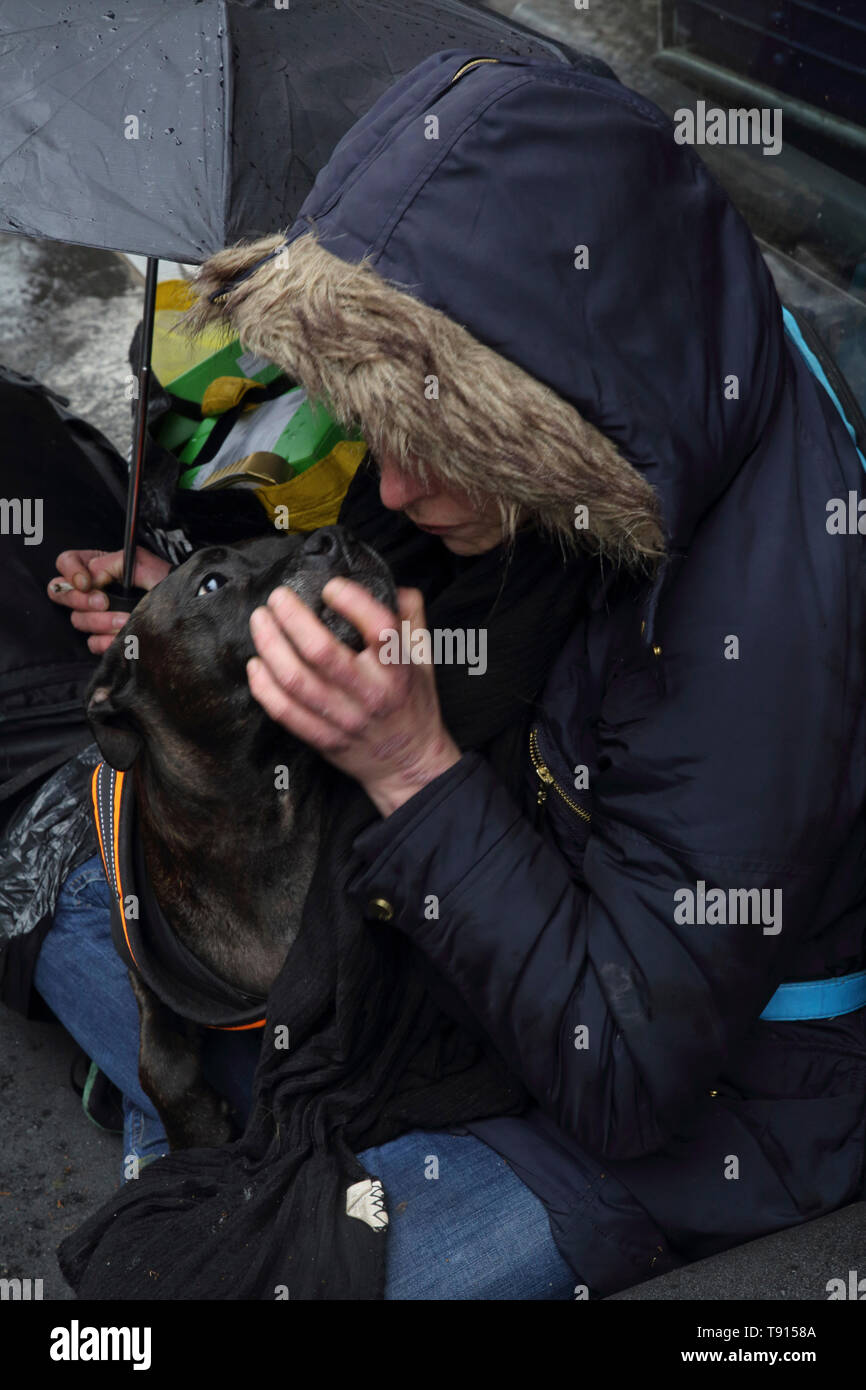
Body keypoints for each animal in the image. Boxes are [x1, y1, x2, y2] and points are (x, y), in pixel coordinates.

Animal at [84, 525, 397, 1145]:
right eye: (211, 583)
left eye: (284, 539)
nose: (335, 534)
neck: (260, 814)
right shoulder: (143, 973)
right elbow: (156, 1062)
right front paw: (200, 1129)